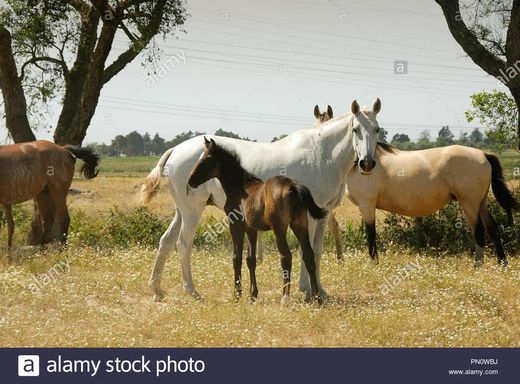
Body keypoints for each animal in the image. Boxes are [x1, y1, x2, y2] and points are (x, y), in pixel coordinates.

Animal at [186, 137, 324, 304]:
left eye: (205, 159)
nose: (190, 181)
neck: (240, 187)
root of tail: (293, 186)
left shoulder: (236, 226)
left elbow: (237, 257)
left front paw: (237, 293)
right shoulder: (251, 229)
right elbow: (250, 260)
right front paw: (253, 295)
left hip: (280, 229)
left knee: (286, 257)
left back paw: (285, 296)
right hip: (300, 225)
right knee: (308, 255)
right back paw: (317, 297)